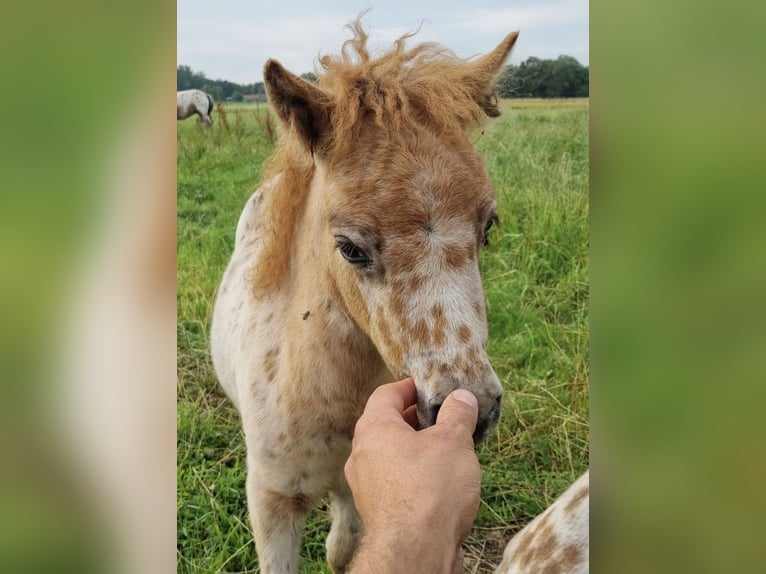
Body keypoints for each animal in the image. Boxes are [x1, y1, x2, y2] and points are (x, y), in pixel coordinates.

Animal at [213, 20, 520, 572]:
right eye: (350, 248)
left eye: (488, 228)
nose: (474, 409)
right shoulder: (272, 504)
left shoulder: (358, 489)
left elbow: (342, 551)